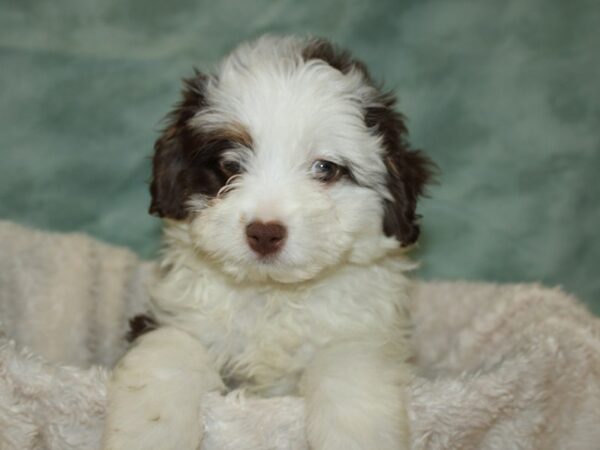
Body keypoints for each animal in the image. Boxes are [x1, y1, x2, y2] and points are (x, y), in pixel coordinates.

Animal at [102, 36, 432, 450]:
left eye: (325, 168)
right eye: (230, 165)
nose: (264, 232)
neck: (272, 294)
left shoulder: (362, 334)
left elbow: (347, 368)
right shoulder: (173, 316)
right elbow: (169, 354)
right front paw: (148, 433)